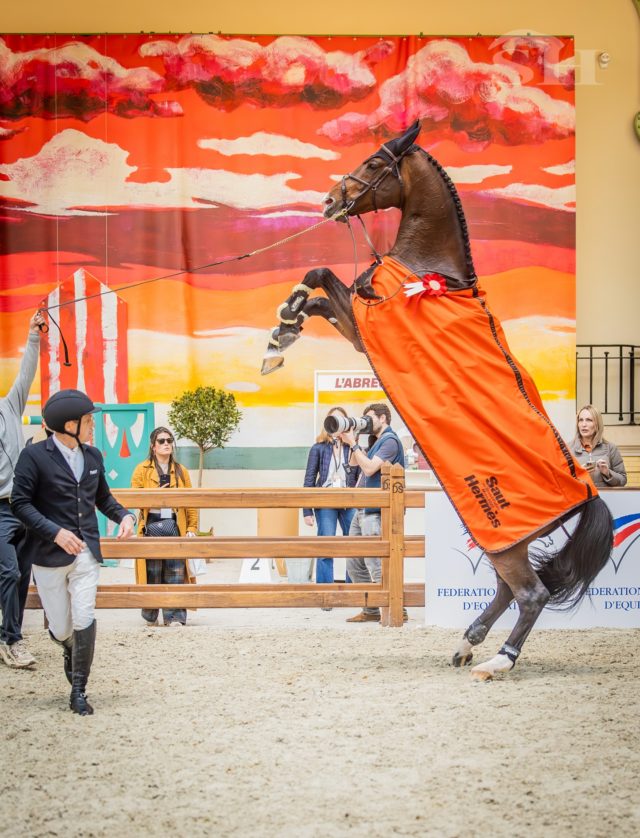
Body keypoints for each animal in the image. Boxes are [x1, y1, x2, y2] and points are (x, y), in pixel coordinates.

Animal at [261, 120, 613, 680]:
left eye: (374, 163)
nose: (330, 200)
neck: (431, 273)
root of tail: (585, 491)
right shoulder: (358, 324)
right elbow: (317, 284)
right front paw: (281, 330)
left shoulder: (362, 325)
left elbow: (319, 282)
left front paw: (282, 331)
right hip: (501, 540)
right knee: (506, 588)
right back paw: (468, 643)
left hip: (503, 533)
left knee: (530, 594)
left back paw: (497, 661)